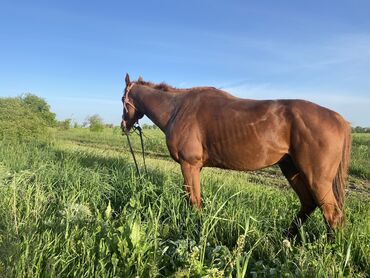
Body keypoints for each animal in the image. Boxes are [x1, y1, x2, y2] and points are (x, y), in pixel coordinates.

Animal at [122, 74, 352, 239]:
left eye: (122, 98)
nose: (124, 126)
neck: (178, 109)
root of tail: (340, 119)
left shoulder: (189, 165)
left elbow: (193, 200)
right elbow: (195, 199)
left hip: (317, 178)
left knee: (332, 215)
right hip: (292, 170)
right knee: (308, 204)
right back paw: (286, 239)